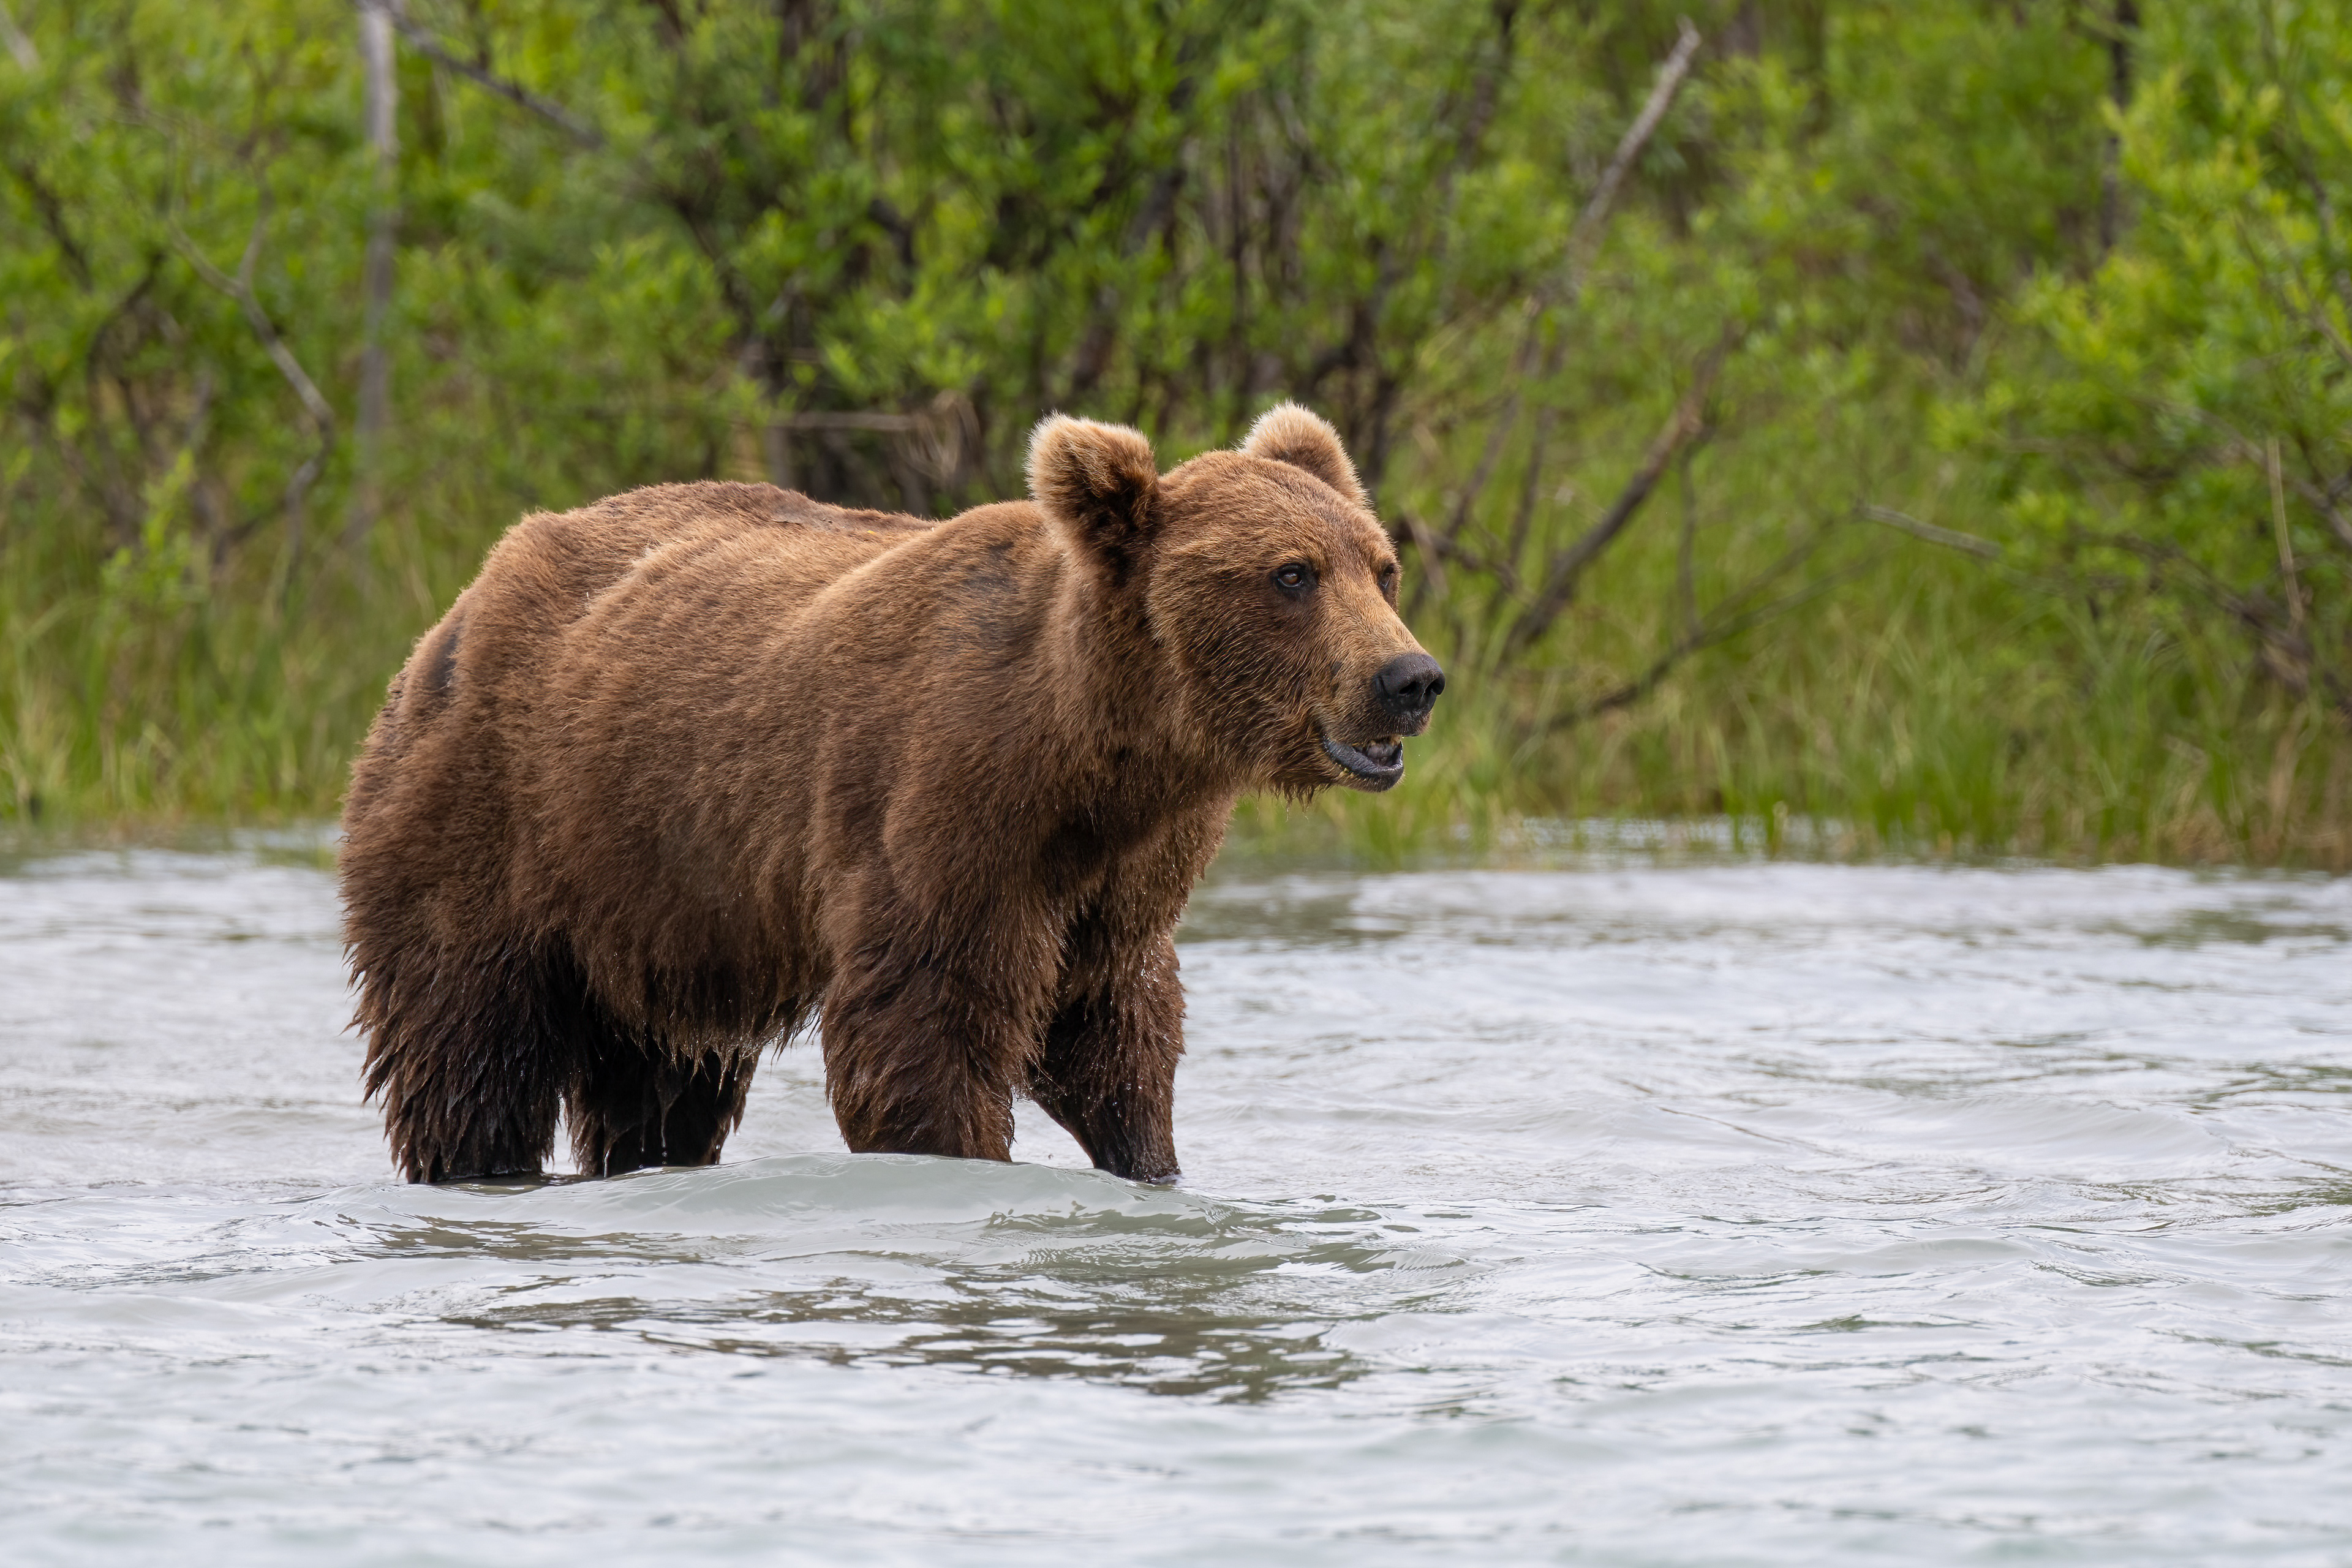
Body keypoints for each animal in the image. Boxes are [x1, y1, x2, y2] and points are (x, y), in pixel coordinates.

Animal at [339, 403, 1444, 1185]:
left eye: (1381, 566)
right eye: (1292, 574)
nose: (1410, 678)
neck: (1092, 752)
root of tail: (465, 601)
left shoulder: (1122, 884)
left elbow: (1119, 1042)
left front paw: (1153, 1164)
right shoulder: (944, 812)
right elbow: (926, 1035)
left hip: (654, 897)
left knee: (661, 1080)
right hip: (491, 819)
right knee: (471, 1048)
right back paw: (474, 1165)